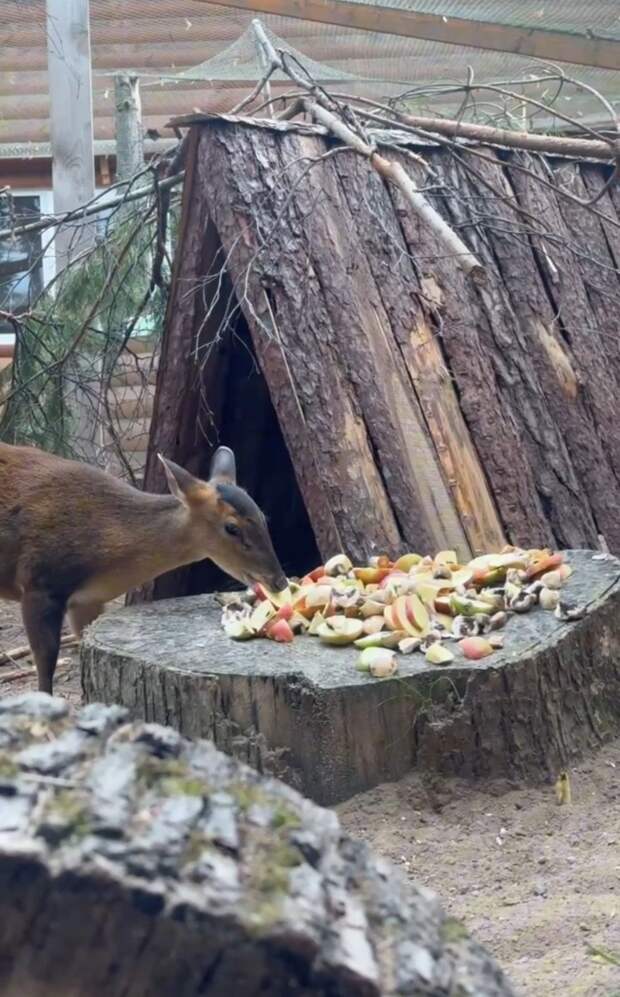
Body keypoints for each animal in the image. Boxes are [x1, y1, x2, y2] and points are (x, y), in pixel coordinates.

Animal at [0, 444, 286, 692]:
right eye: (231, 527)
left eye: (263, 517)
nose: (280, 581)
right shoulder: (39, 581)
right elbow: (45, 664)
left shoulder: (87, 601)